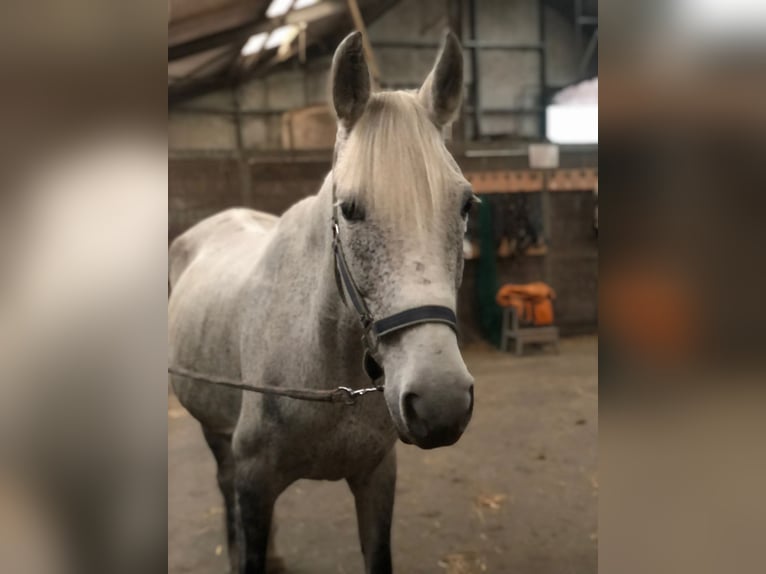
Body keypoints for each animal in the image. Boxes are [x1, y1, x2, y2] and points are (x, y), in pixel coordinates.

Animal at [171, 30, 476, 574]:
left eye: (465, 205)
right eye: (349, 210)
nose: (440, 401)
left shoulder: (376, 478)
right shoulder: (254, 482)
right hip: (214, 430)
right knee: (223, 484)